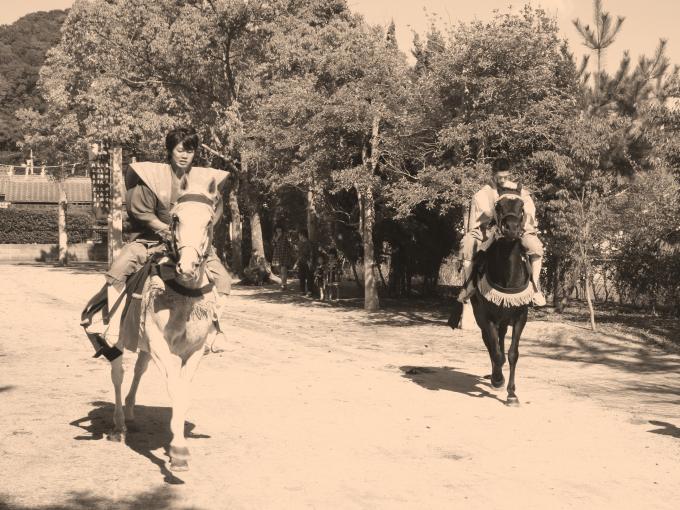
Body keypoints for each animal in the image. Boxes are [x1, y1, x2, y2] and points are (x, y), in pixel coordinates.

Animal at [109, 173, 220, 472]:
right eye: (176, 218)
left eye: (209, 221)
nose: (187, 267)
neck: (183, 296)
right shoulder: (161, 345)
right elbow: (175, 389)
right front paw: (178, 450)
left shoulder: (194, 350)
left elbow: (184, 391)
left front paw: (177, 445)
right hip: (120, 340)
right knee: (118, 374)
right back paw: (119, 424)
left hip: (144, 345)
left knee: (138, 370)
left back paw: (131, 412)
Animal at [470, 191, 532, 406]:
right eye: (498, 206)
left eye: (521, 207)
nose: (511, 228)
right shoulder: (487, 316)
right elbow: (496, 353)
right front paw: (498, 379)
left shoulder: (520, 316)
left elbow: (512, 354)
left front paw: (512, 393)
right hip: (481, 316)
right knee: (490, 343)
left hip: (504, 319)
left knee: (501, 339)